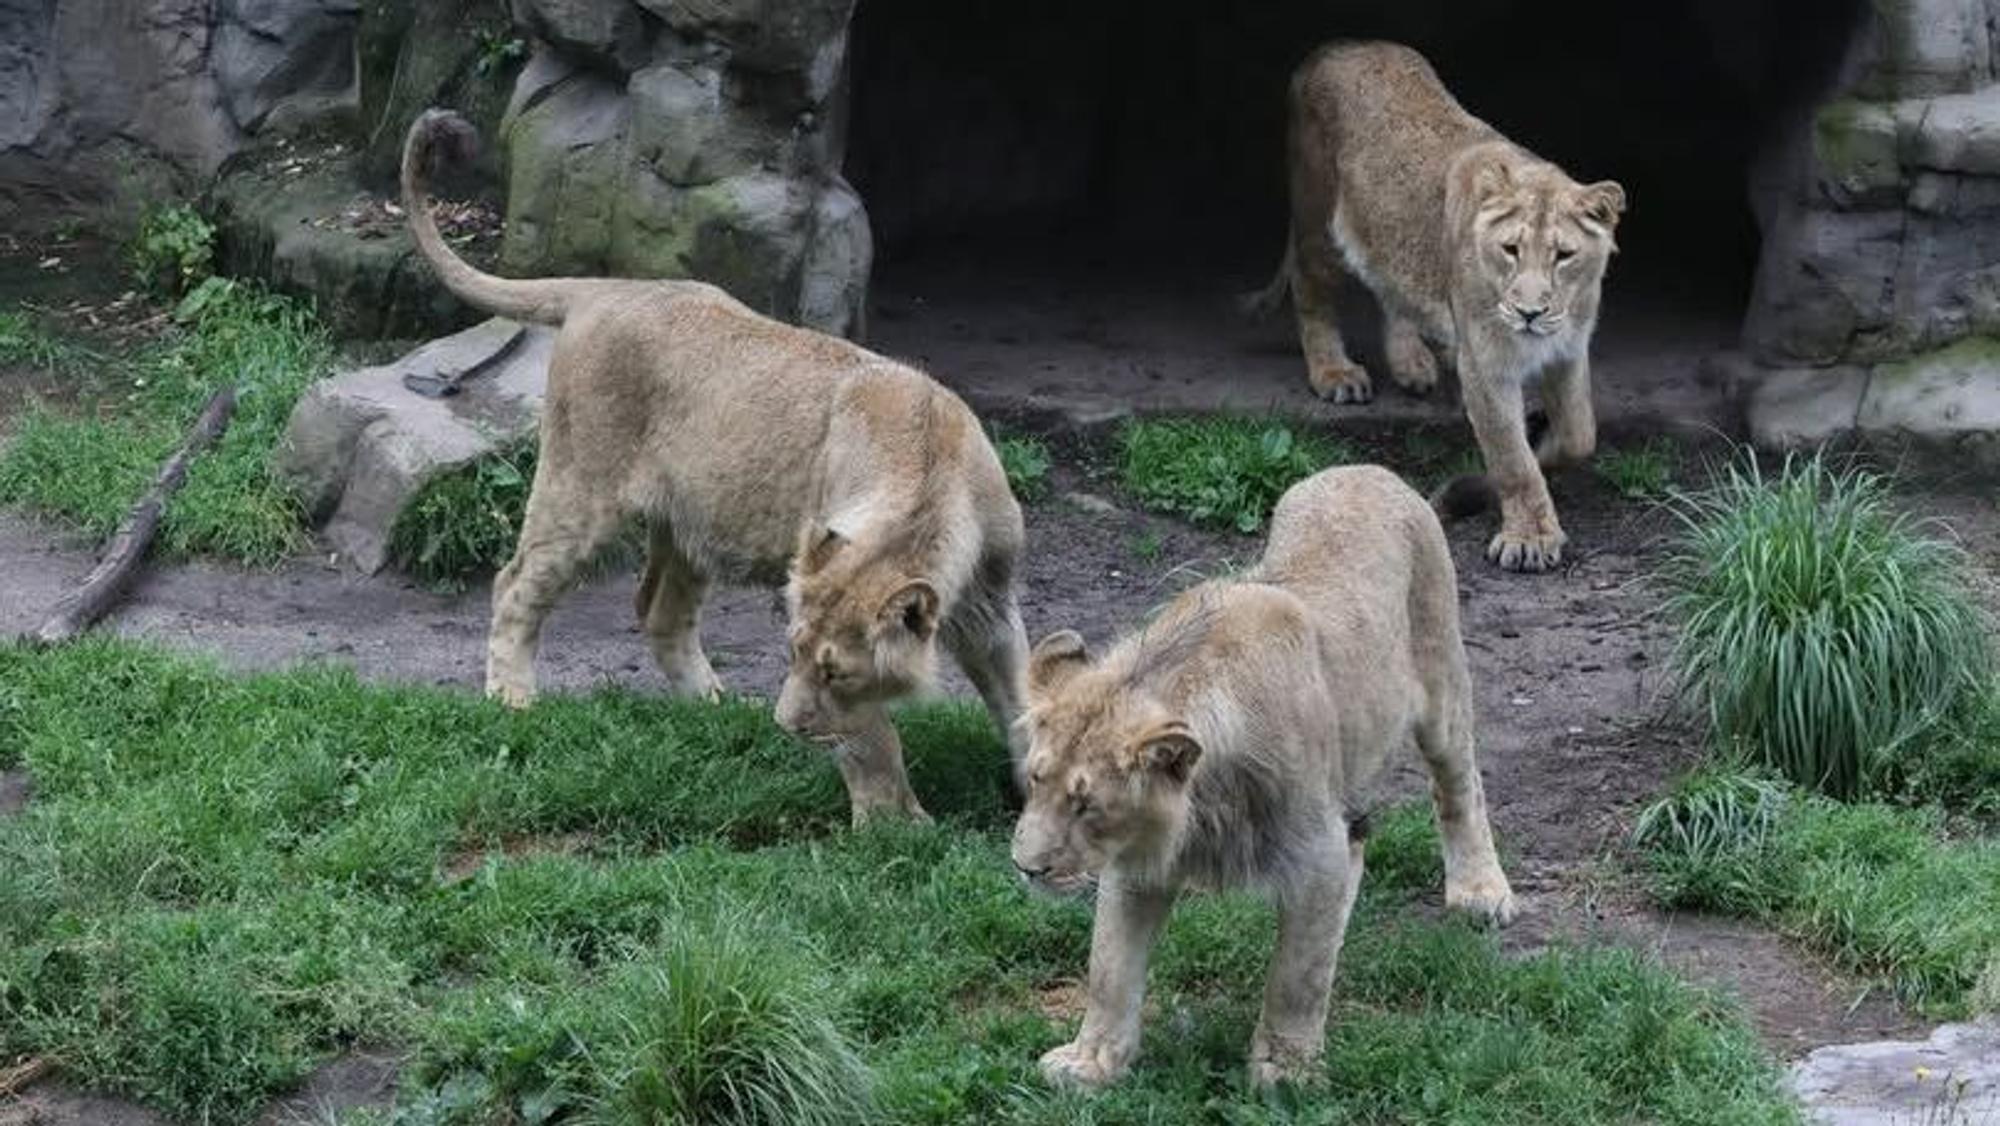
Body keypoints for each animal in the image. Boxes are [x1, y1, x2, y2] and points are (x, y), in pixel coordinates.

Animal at [398, 109, 1032, 824]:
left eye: (835, 671)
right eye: (791, 652)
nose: (786, 726)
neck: (930, 479)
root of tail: (607, 288)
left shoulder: (991, 606)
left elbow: (1020, 699)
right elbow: (870, 736)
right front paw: (893, 825)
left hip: (693, 522)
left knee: (659, 610)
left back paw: (713, 708)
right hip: (580, 484)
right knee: (515, 583)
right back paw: (513, 700)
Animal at [1010, 465, 1515, 1089]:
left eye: (1087, 806)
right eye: (1036, 782)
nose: (1026, 868)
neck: (1202, 806)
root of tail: (1373, 472)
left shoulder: (1317, 856)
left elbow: (1297, 978)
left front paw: (1285, 1073)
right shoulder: (1138, 863)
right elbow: (1110, 967)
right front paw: (1092, 1062)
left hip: (1441, 685)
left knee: (1460, 783)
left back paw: (1481, 890)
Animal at [1245, 41, 1627, 572]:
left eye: (1564, 255)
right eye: (1510, 249)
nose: (1528, 313)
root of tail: (1337, 44)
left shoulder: (1568, 350)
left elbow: (1578, 436)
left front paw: (1533, 450)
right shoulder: (1486, 363)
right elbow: (1512, 458)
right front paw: (1528, 536)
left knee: (1392, 286)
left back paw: (1414, 361)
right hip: (1318, 217)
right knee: (1310, 287)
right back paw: (1336, 373)